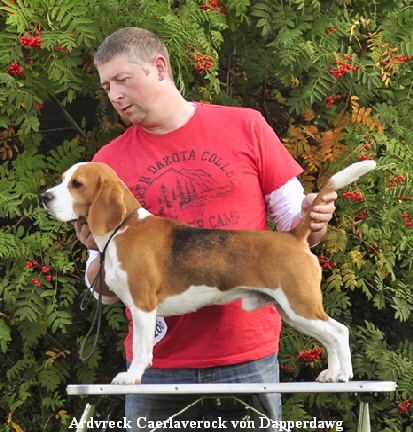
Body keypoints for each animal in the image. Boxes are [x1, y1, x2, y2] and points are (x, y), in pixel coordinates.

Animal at [41, 160, 374, 384]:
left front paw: (131, 376)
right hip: (293, 311)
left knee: (339, 332)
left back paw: (344, 374)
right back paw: (332, 373)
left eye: (76, 184)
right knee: (329, 337)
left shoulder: (143, 305)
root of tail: (293, 235)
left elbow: (141, 349)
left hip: (299, 304)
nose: (44, 197)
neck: (124, 228)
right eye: (63, 179)